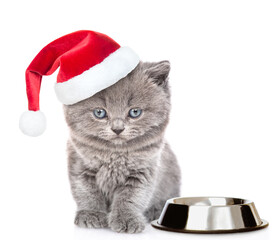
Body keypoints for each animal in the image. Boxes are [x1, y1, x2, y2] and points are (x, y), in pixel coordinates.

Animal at [63, 60, 181, 232]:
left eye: (135, 112)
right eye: (99, 113)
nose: (117, 129)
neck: (114, 154)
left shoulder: (142, 172)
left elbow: (130, 198)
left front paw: (126, 219)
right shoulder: (80, 166)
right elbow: (87, 193)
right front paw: (91, 215)